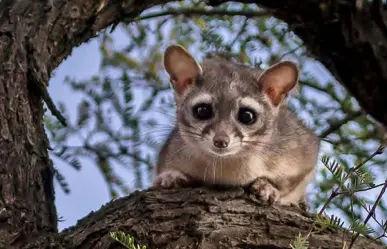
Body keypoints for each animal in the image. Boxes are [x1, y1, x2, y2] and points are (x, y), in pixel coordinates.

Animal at [152, 44, 322, 206]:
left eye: (247, 116)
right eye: (202, 111)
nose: (221, 141)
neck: (224, 167)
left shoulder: (299, 150)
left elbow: (292, 181)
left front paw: (269, 187)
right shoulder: (172, 150)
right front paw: (171, 175)